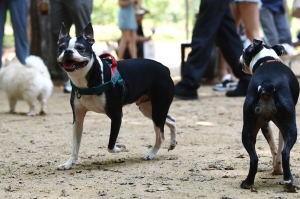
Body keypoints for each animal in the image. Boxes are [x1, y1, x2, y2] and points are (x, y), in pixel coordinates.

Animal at [56, 22, 177, 169]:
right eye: (61, 48)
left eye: (80, 48)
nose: (68, 51)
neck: (87, 82)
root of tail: (165, 69)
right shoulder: (78, 119)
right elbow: (75, 146)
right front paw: (68, 163)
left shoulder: (116, 116)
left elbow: (110, 145)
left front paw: (121, 148)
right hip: (149, 109)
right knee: (171, 120)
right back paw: (172, 143)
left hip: (158, 109)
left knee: (160, 135)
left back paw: (151, 154)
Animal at [239, 39, 300, 191]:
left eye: (244, 51)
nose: (240, 57)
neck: (266, 59)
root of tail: (267, 84)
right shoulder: (283, 127)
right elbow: (279, 147)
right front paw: (278, 171)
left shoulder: (265, 125)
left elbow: (273, 147)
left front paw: (277, 169)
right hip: (291, 128)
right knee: (285, 153)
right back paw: (289, 181)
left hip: (247, 130)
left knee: (254, 158)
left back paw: (248, 182)